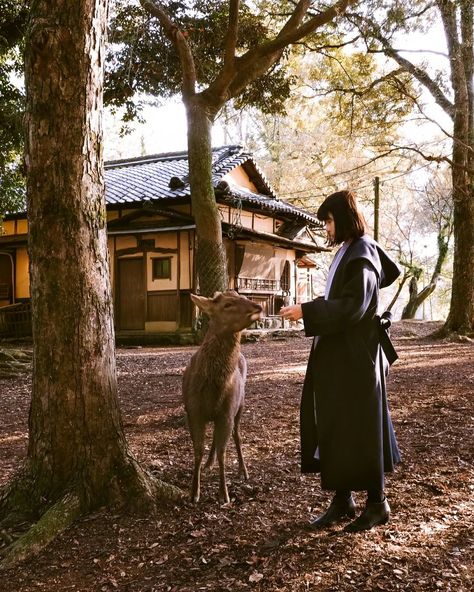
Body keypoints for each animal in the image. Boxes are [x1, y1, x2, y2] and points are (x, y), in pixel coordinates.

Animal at [182, 290, 262, 502]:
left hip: (240, 406)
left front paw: (224, 494)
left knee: (237, 435)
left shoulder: (226, 413)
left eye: (243, 296)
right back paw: (208, 464)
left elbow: (223, 452)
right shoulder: (193, 412)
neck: (212, 390)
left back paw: (243, 470)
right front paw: (194, 492)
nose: (258, 306)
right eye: (227, 304)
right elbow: (198, 449)